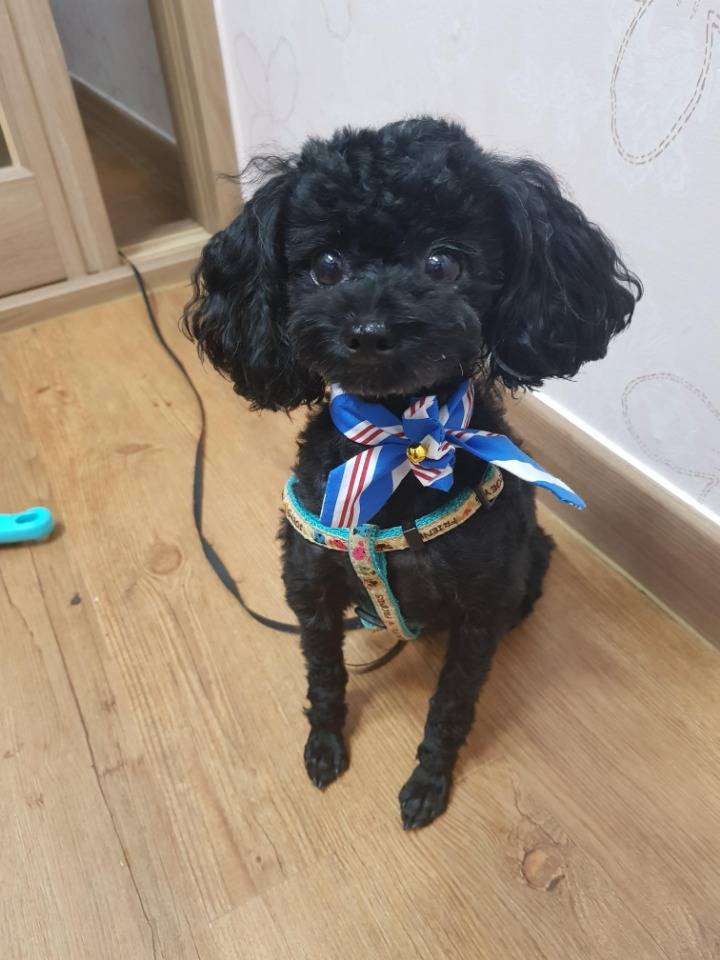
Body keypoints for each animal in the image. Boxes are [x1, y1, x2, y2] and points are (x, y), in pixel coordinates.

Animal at [183, 117, 641, 829]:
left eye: (444, 263)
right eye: (326, 266)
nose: (371, 330)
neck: (401, 440)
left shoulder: (480, 609)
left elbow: (451, 705)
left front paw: (428, 782)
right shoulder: (310, 589)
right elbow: (324, 676)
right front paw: (324, 746)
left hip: (527, 568)